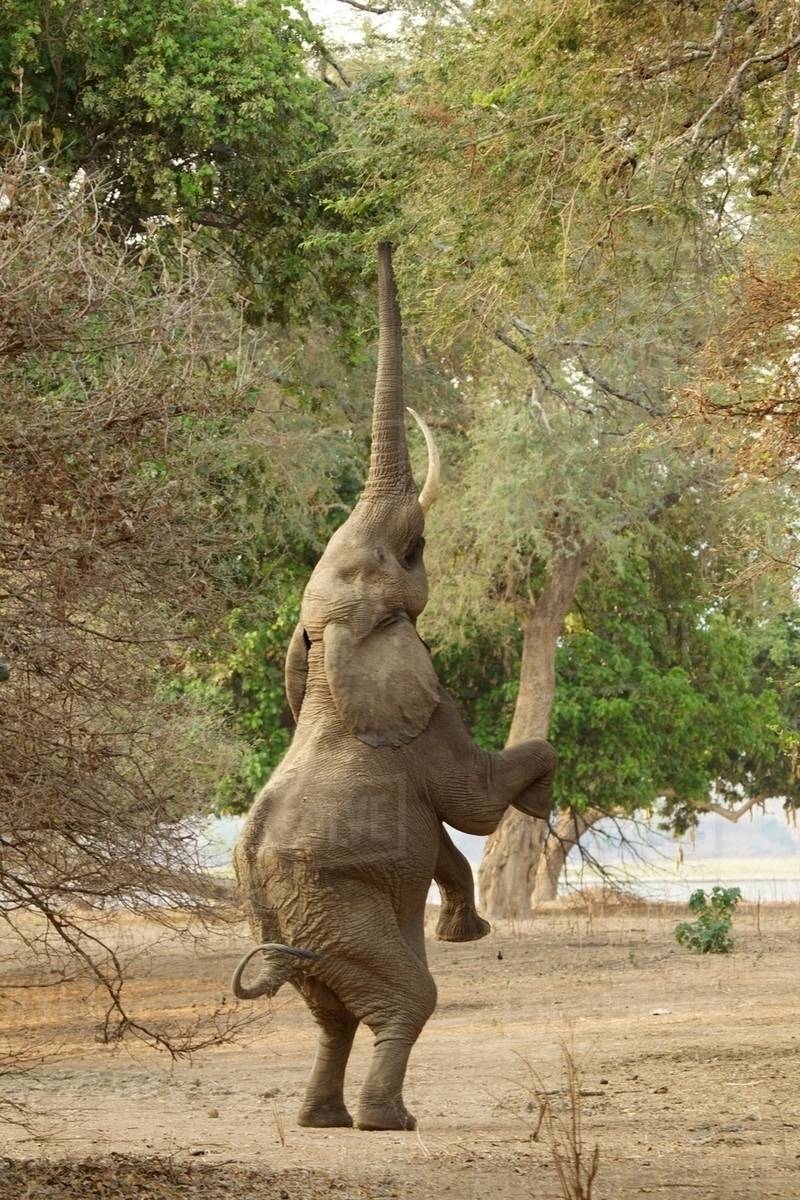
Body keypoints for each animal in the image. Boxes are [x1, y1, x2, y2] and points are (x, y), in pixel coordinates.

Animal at [231, 243, 557, 1133]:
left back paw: (323, 1121)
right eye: (409, 554)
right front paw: (542, 798)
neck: (329, 655)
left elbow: (447, 834)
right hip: (333, 911)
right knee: (406, 997)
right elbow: (472, 799)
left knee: (332, 1014)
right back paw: (386, 1121)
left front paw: (466, 926)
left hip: (309, 925)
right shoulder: (429, 710)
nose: (380, 241)